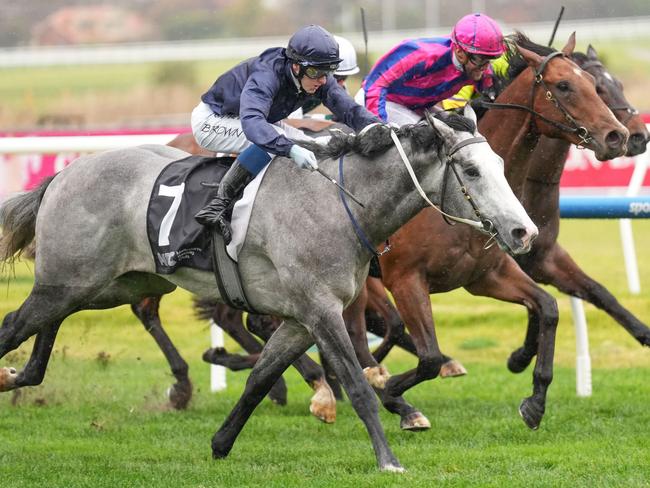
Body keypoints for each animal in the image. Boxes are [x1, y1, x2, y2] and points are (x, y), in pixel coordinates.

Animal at [0, 107, 536, 472]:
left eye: (500, 165)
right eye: (471, 172)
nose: (523, 232)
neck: (339, 203)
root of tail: (64, 173)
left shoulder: (299, 319)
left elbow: (259, 380)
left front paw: (220, 444)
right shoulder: (322, 312)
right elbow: (359, 385)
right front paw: (388, 458)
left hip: (101, 285)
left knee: (35, 332)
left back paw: (16, 376)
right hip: (69, 281)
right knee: (16, 326)